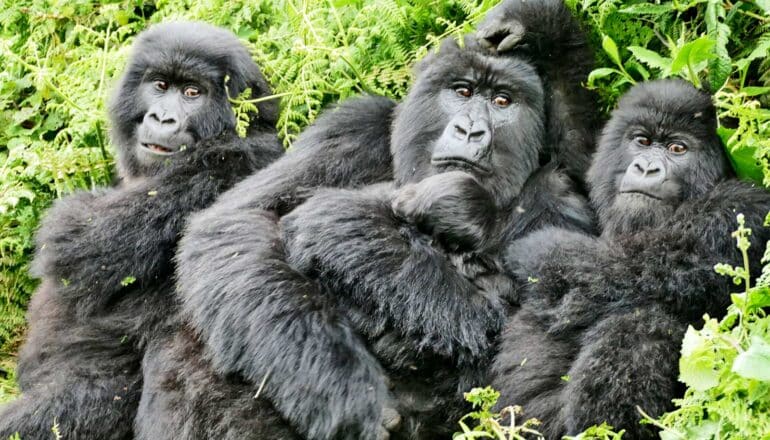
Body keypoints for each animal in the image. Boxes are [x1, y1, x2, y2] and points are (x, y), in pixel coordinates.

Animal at [488, 80, 768, 440]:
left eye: (677, 149)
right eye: (642, 142)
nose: (646, 167)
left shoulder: (742, 207)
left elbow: (623, 268)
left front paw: (532, 249)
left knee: (641, 316)